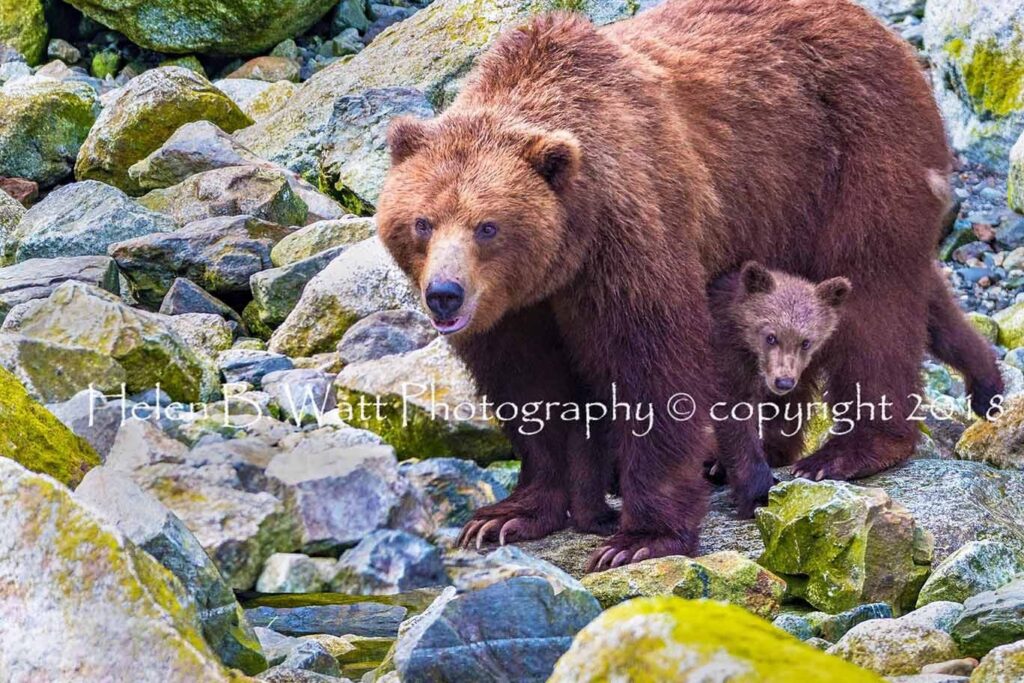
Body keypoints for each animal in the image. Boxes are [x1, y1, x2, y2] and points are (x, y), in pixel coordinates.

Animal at [374, 0, 999, 569]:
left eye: (488, 226)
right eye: (422, 222)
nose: (444, 294)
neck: (565, 250)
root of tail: (886, 34)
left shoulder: (631, 236)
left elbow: (653, 367)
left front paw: (640, 536)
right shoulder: (516, 312)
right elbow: (530, 389)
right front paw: (507, 515)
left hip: (853, 160)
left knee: (871, 300)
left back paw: (847, 450)